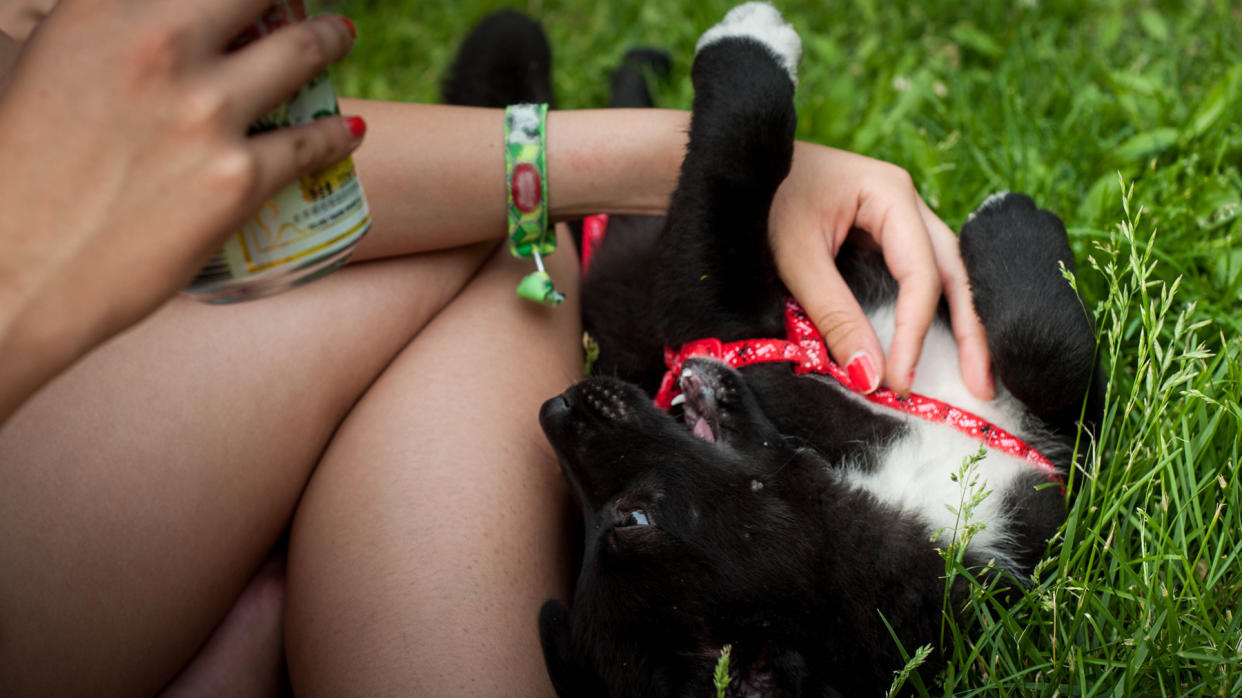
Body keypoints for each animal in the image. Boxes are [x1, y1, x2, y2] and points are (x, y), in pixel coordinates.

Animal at [529, 2, 1102, 690]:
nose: (554, 406)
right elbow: (737, 163)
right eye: (628, 519)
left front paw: (1005, 226)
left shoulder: (1058, 481)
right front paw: (749, 40)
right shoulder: (719, 318)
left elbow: (1049, 354)